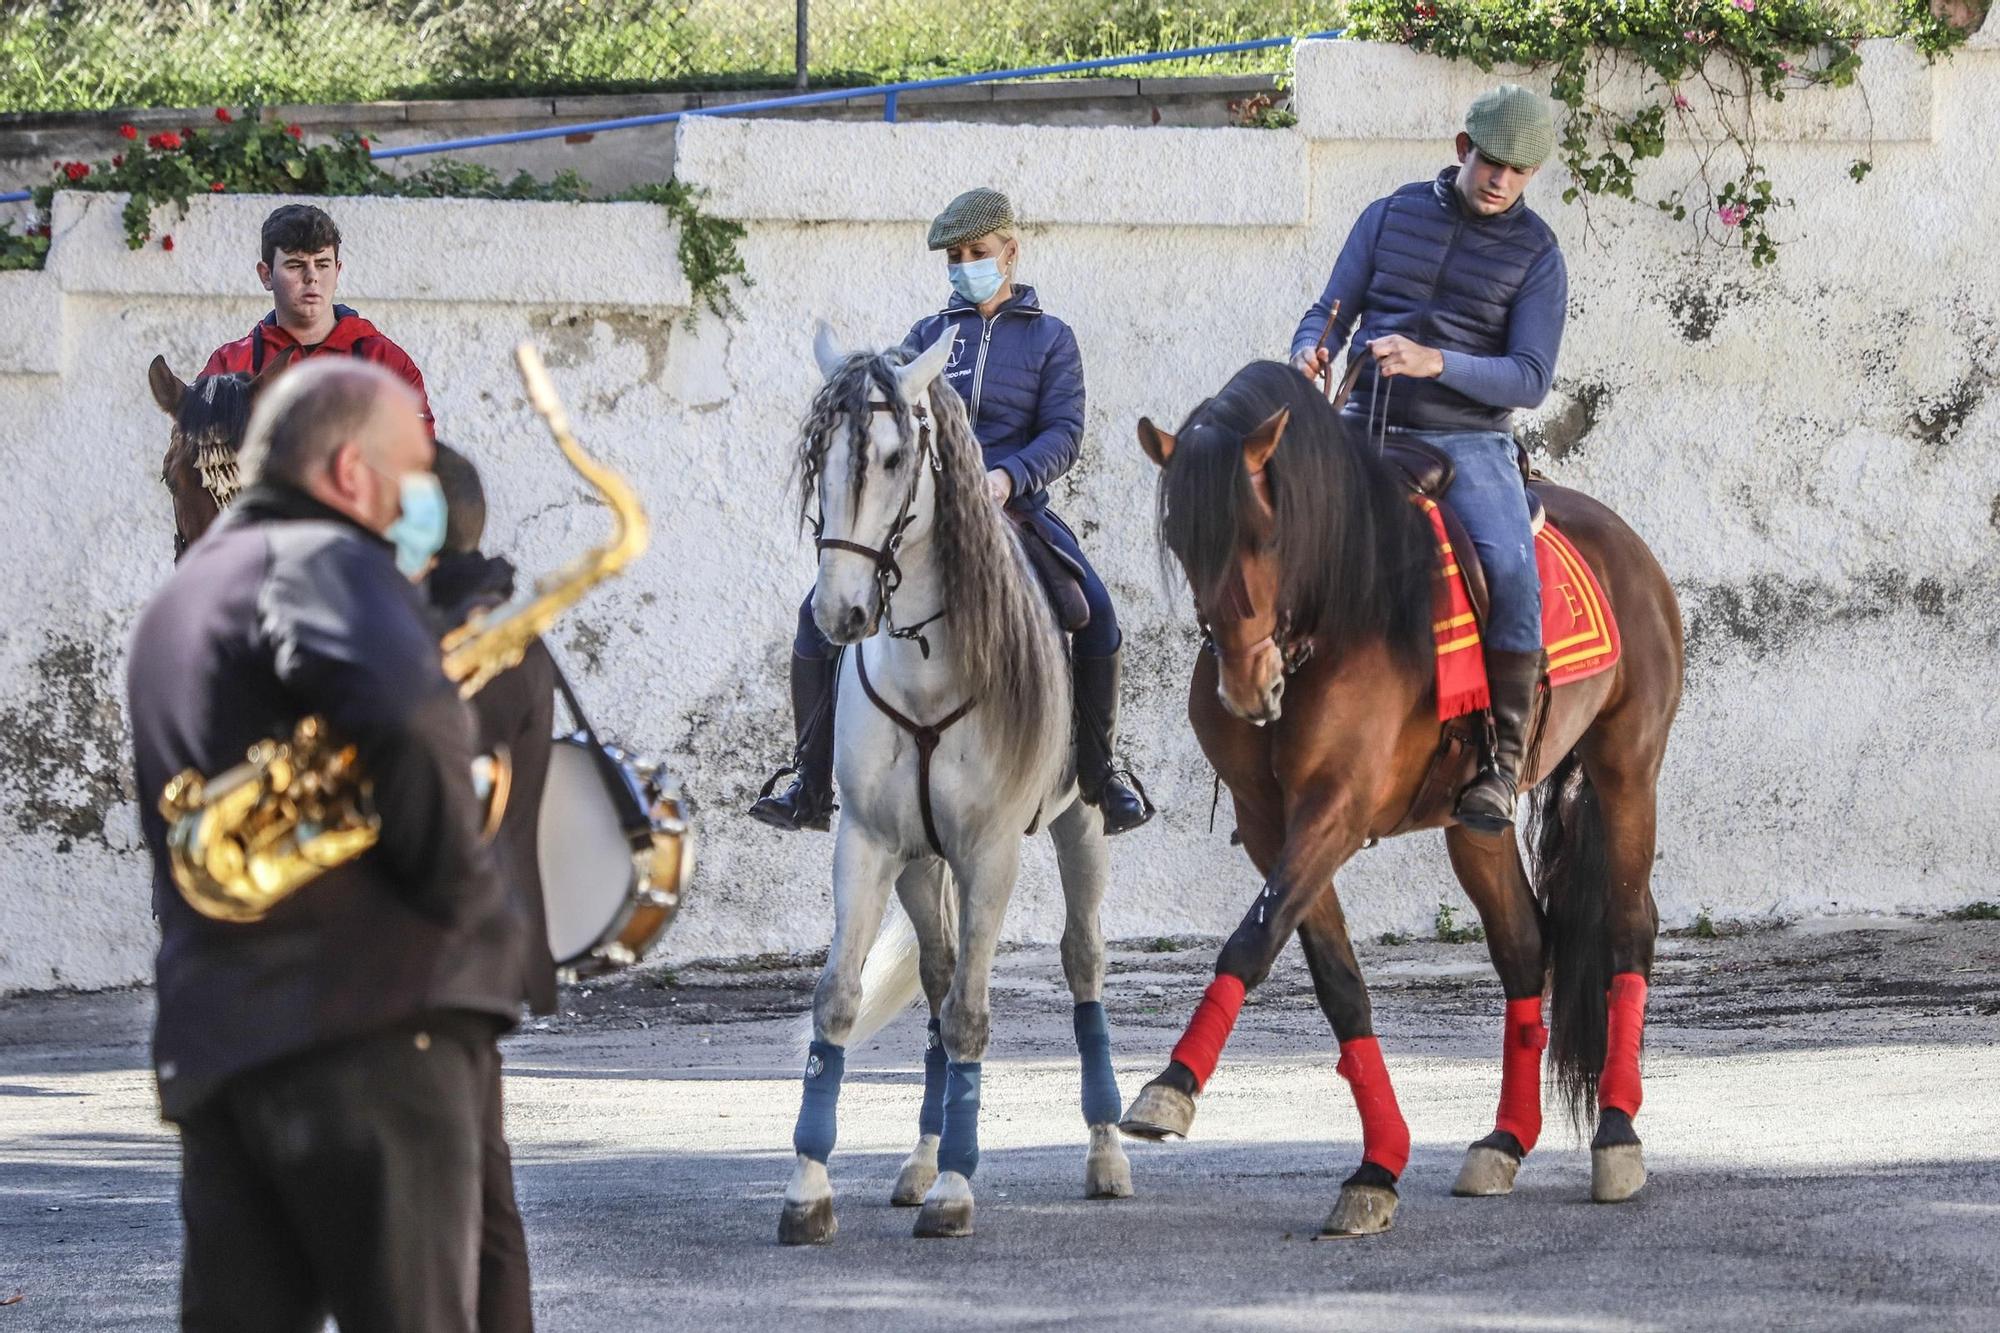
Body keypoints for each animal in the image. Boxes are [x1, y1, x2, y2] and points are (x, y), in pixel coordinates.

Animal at [776, 326, 1136, 1240]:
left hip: (1079, 828)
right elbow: (839, 999)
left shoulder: (989, 852)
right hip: (917, 862)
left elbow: (974, 1013)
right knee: (936, 983)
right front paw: (809, 1186)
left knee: (1082, 962)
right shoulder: (869, 842)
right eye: (819, 456)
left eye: (896, 456)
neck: (927, 661)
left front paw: (956, 1191)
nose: (839, 614)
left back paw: (1106, 1152)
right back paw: (920, 1157)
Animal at [1120, 358, 1680, 1232]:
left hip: (1627, 770)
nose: (1246, 686)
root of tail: (1626, 545)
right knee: (1524, 947)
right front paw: (1377, 1166)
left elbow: (1253, 937)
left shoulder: (1336, 806)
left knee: (1628, 929)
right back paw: (1504, 1140)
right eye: (1181, 537)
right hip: (1473, 821)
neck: (1343, 603)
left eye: (1265, 531)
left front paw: (1171, 1086)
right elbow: (1336, 980)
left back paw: (1617, 1133)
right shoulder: (1269, 820)